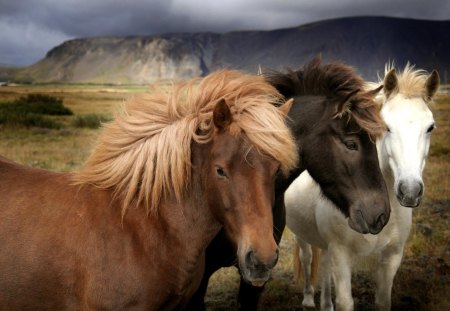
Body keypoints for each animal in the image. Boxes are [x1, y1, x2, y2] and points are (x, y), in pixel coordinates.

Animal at [284, 64, 440, 311]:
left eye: (430, 127)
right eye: (386, 127)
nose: (410, 191)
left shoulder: (392, 256)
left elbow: (383, 301)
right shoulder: (341, 254)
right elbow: (345, 302)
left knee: (324, 264)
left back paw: (325, 304)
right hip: (301, 234)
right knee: (307, 258)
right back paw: (308, 298)